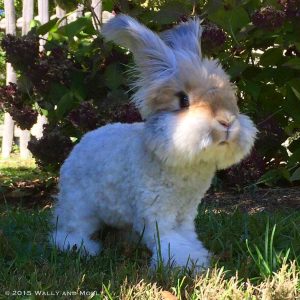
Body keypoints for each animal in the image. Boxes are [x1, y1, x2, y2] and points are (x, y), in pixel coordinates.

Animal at [50, 14, 256, 270]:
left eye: (230, 98)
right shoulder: (158, 213)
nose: (227, 122)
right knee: (70, 230)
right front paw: (185, 262)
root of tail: (81, 143)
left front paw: (197, 255)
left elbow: (186, 236)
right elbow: (168, 239)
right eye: (183, 100)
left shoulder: (185, 214)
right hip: (78, 205)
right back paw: (80, 248)